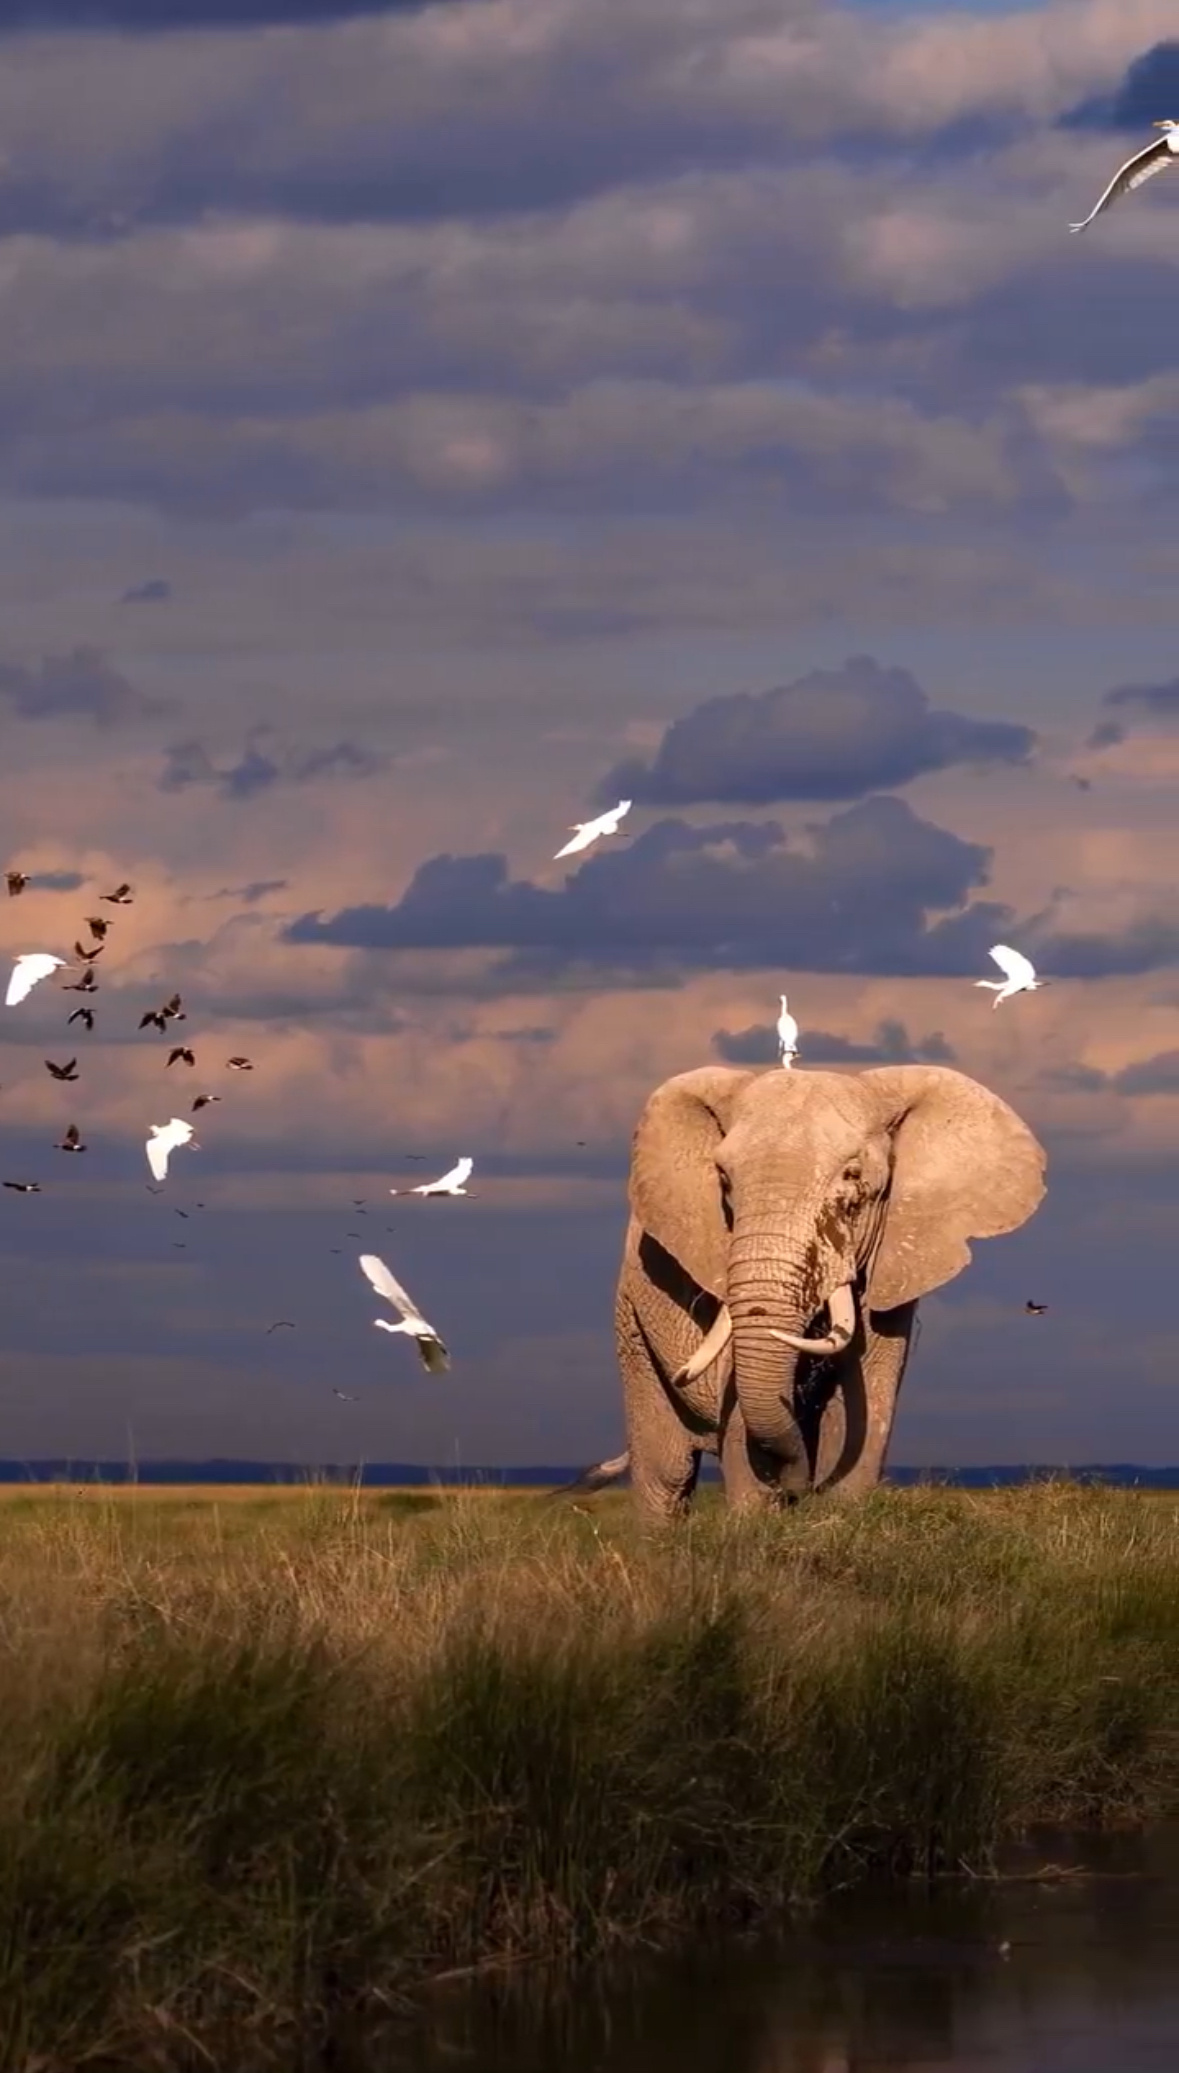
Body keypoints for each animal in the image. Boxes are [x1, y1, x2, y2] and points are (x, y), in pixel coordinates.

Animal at [564, 1062, 1046, 1522]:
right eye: (723, 1180)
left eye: (853, 1177)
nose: (798, 1489)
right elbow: (744, 1425)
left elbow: (865, 1413)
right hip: (632, 1322)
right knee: (666, 1475)